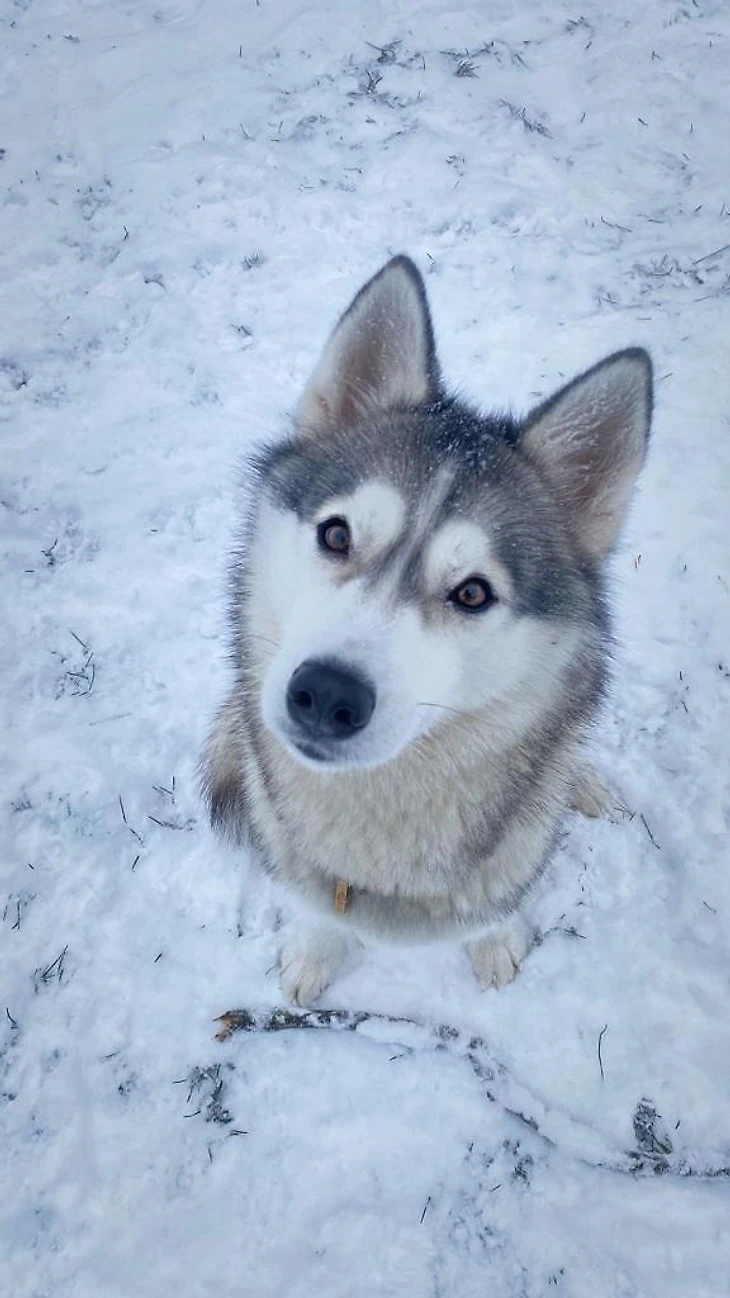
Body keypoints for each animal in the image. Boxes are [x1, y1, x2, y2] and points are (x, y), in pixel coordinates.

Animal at [201, 253, 649, 1002]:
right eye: (336, 534)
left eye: (472, 593)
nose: (326, 694)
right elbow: (314, 912)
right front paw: (315, 953)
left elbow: (500, 901)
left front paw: (495, 941)